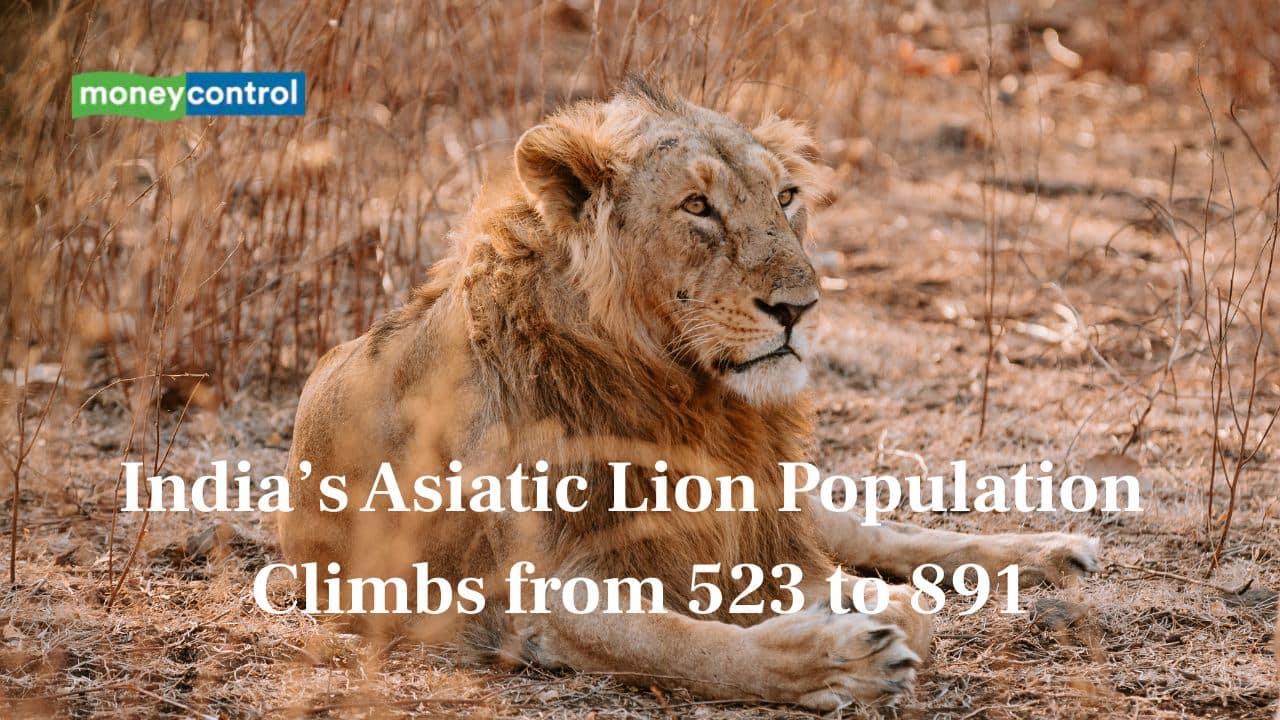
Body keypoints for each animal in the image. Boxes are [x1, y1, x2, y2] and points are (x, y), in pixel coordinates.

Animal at [278, 78, 1100, 710]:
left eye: (787, 196)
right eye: (697, 207)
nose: (801, 307)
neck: (688, 398)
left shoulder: (746, 531)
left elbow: (875, 594)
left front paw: (857, 615)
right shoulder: (540, 592)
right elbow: (688, 641)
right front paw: (835, 661)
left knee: (874, 531)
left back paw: (1053, 552)